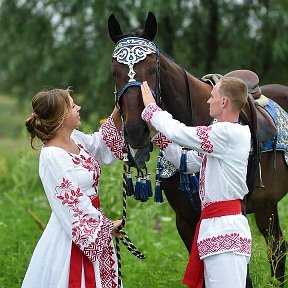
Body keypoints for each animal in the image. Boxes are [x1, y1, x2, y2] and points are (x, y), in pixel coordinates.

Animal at [108, 11, 288, 286]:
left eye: (151, 68)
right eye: (114, 71)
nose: (136, 132)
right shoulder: (184, 220)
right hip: (267, 203)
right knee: (277, 247)